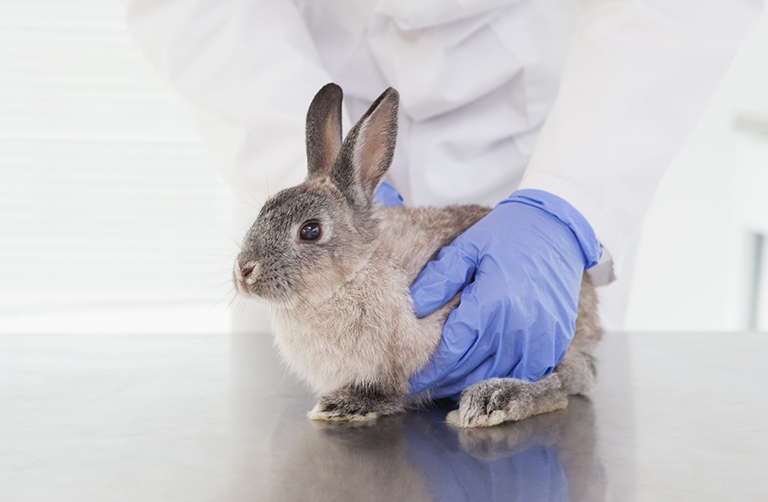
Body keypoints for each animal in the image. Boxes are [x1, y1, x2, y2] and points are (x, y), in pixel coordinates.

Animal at [233, 83, 602, 428]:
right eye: (265, 209)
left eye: (310, 231)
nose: (244, 273)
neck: (354, 272)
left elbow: (388, 393)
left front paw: (344, 406)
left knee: (557, 387)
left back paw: (492, 400)